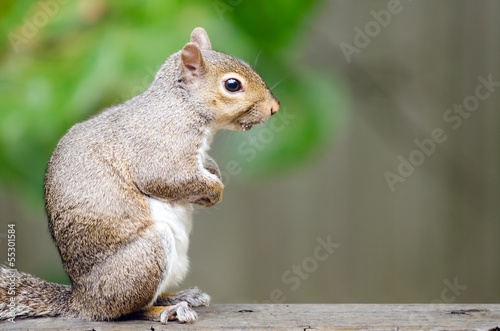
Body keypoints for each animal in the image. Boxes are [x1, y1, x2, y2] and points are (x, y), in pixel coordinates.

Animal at [0, 27, 280, 324]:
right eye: (232, 85)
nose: (274, 107)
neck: (182, 104)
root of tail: (82, 301)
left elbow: (203, 168)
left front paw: (212, 176)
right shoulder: (160, 145)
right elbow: (166, 178)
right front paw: (215, 191)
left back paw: (180, 296)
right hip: (146, 257)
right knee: (129, 309)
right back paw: (168, 309)